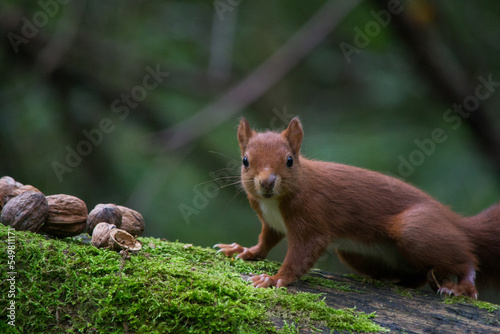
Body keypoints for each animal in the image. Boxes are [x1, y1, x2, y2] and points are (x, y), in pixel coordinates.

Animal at [215, 117, 500, 298]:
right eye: (245, 160)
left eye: (289, 161)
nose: (266, 182)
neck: (273, 203)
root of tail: (453, 219)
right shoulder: (271, 222)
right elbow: (265, 241)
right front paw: (242, 250)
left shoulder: (311, 216)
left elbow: (301, 253)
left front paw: (274, 279)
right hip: (357, 254)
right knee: (419, 273)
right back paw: (402, 281)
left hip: (416, 229)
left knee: (467, 258)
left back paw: (461, 286)